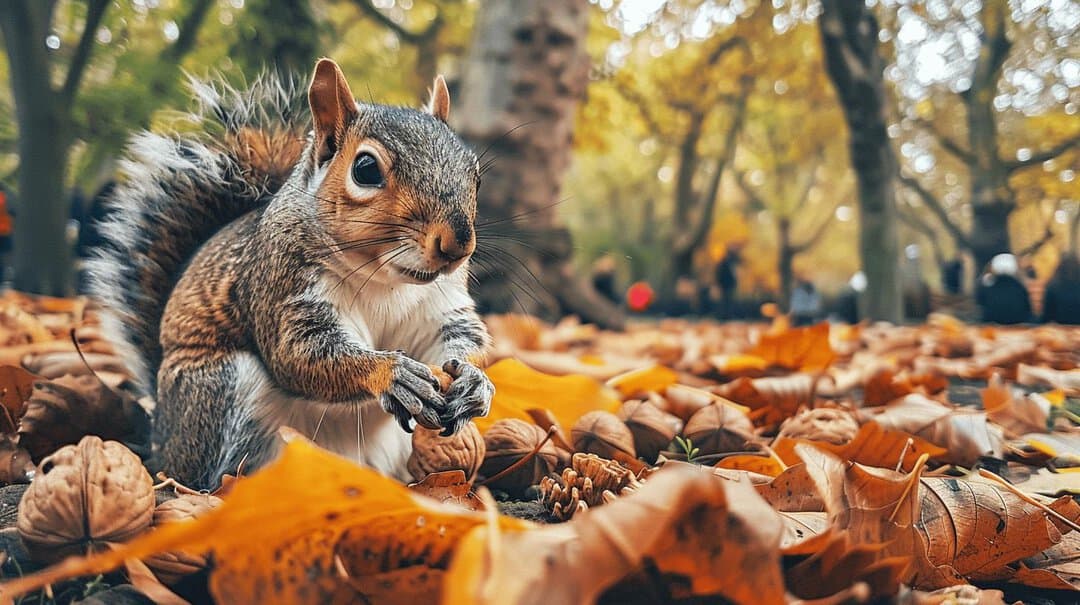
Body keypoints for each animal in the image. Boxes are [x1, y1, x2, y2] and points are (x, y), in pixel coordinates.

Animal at [88, 58, 494, 489]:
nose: (457, 245)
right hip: (222, 394)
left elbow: (459, 338)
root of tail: (163, 437)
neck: (386, 280)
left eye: (475, 174)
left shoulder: (440, 306)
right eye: (366, 169)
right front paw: (392, 374)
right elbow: (300, 357)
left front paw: (475, 382)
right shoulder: (283, 290)